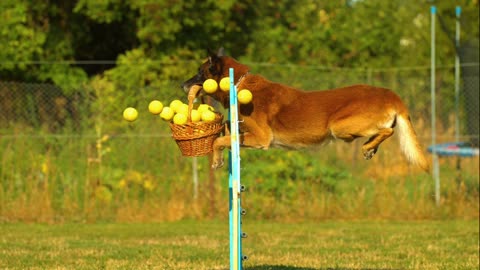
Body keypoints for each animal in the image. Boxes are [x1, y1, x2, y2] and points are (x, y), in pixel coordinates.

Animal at [182, 51, 430, 172]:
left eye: (200, 72)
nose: (183, 85)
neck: (239, 84)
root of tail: (390, 94)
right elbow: (225, 130)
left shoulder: (261, 138)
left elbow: (218, 141)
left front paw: (216, 160)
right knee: (385, 131)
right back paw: (371, 148)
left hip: (338, 126)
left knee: (387, 131)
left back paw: (368, 146)